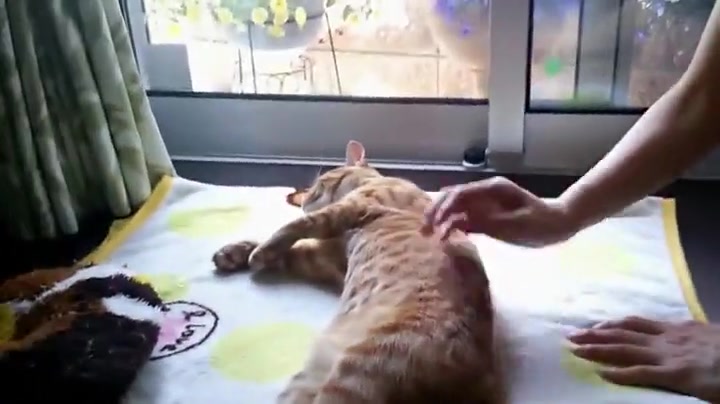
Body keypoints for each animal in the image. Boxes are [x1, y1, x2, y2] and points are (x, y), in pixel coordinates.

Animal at [213, 140, 507, 404]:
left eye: (318, 186)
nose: (305, 201)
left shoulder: (349, 210)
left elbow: (292, 227)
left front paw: (260, 252)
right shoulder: (323, 258)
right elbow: (282, 246)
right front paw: (236, 253)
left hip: (355, 377)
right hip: (310, 380)